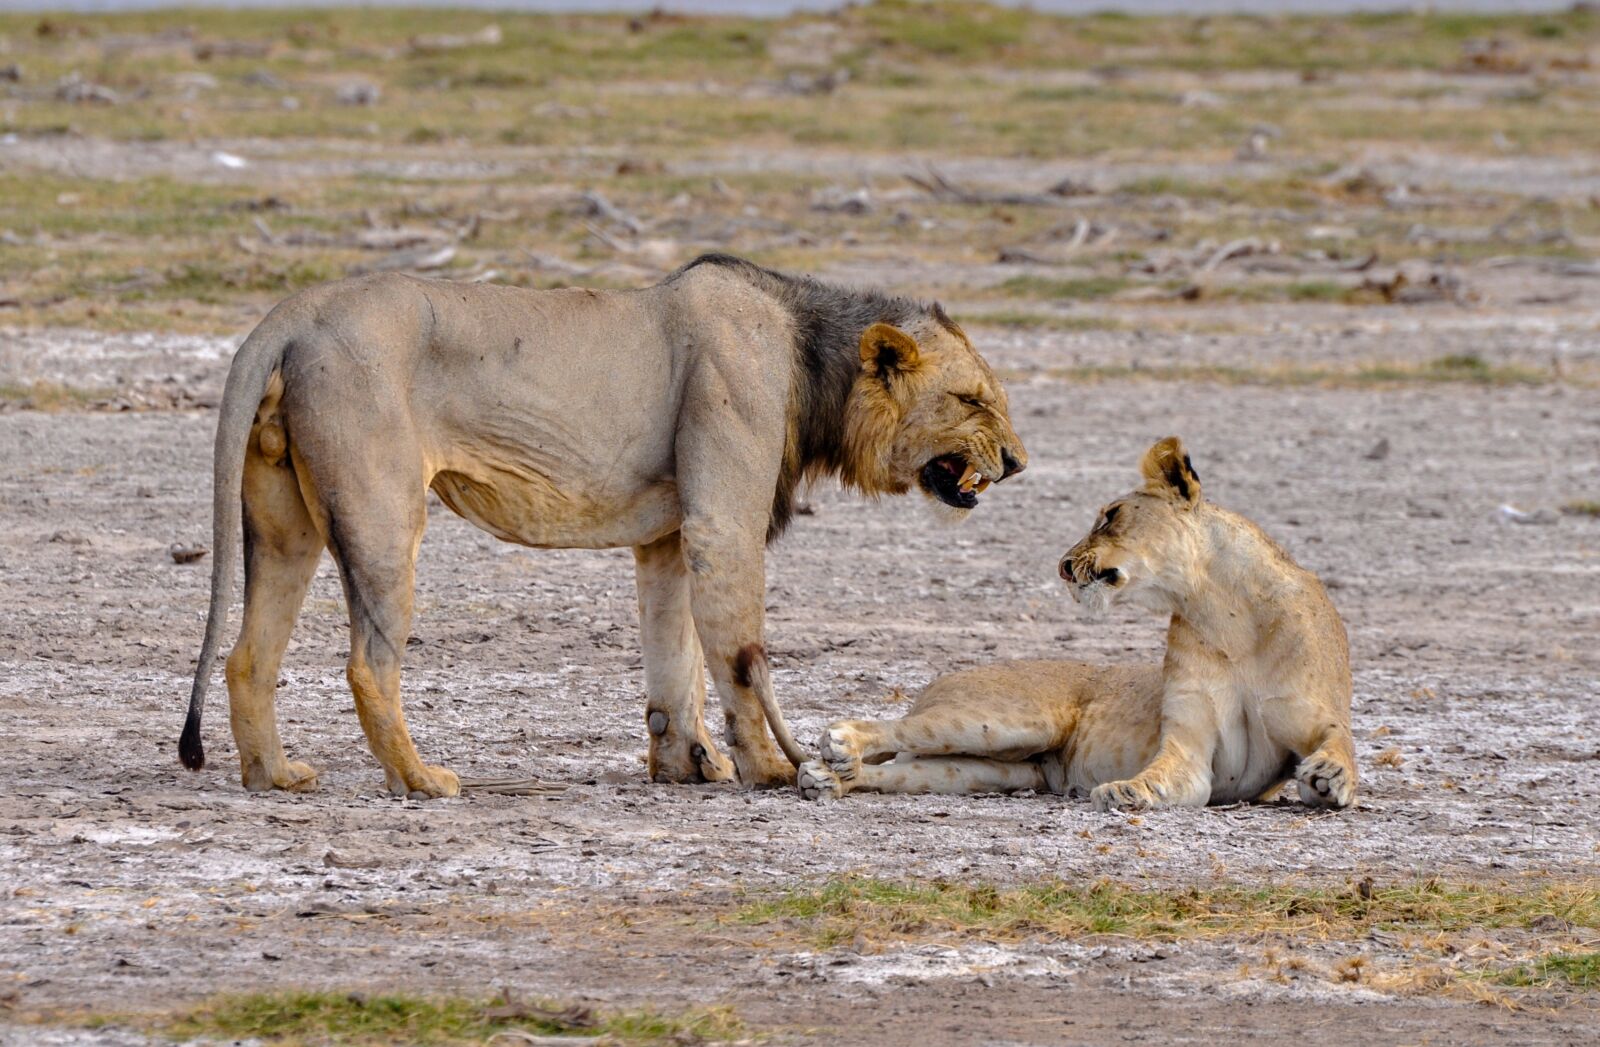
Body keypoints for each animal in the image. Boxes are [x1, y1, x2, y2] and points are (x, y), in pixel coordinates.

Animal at [178, 254, 1028, 797]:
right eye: (973, 400)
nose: (1019, 462)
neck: (811, 357)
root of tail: (295, 311)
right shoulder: (722, 517)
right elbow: (739, 653)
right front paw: (772, 768)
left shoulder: (669, 535)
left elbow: (674, 658)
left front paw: (688, 764)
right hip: (384, 511)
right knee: (366, 663)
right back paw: (422, 779)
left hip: (286, 521)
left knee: (249, 655)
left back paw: (275, 776)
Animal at [797, 436, 1356, 812]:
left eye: (1110, 515)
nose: (1064, 566)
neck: (1223, 612)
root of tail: (938, 682)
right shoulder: (1188, 746)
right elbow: (1165, 772)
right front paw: (1130, 789)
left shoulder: (1309, 718)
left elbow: (1341, 739)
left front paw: (1329, 776)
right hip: (1007, 719)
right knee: (896, 732)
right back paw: (837, 747)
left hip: (994, 768)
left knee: (904, 770)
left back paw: (830, 778)